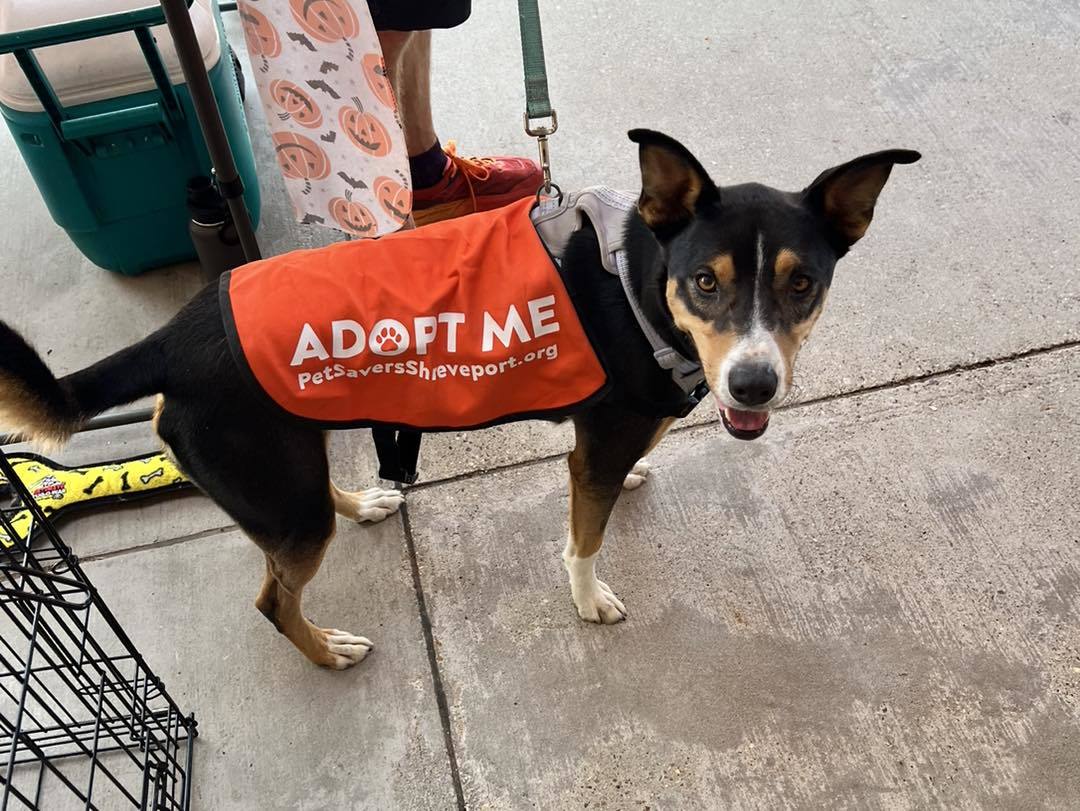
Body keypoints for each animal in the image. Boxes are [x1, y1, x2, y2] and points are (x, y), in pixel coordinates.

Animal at [0, 130, 920, 669]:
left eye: (802, 285)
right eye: (706, 281)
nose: (753, 383)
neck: (638, 279)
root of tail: (175, 335)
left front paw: (636, 476)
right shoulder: (597, 446)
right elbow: (584, 537)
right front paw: (588, 598)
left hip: (289, 465)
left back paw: (366, 500)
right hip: (282, 502)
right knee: (272, 599)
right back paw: (325, 649)